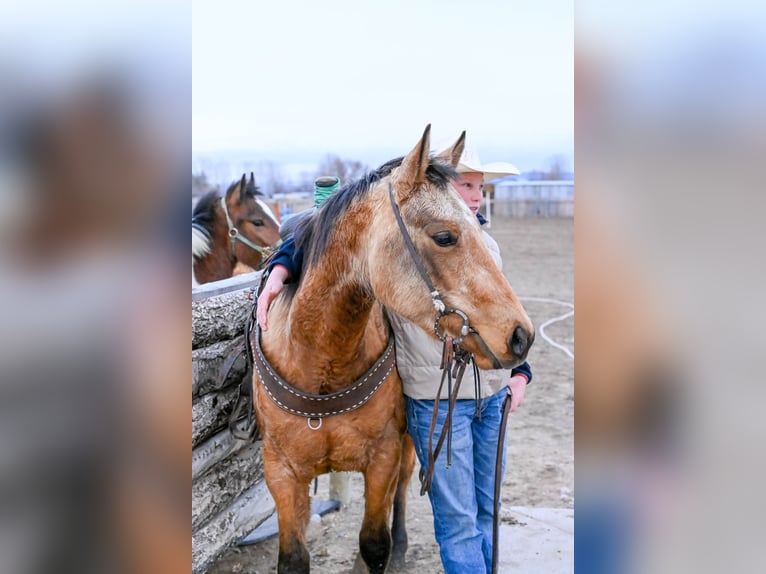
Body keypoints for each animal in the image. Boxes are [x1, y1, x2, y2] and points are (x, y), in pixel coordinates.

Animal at [251, 126, 534, 574]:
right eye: (444, 236)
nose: (521, 335)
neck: (319, 362)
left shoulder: (382, 457)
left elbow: (374, 542)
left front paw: (387, 549)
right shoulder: (281, 472)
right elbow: (294, 558)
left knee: (400, 490)